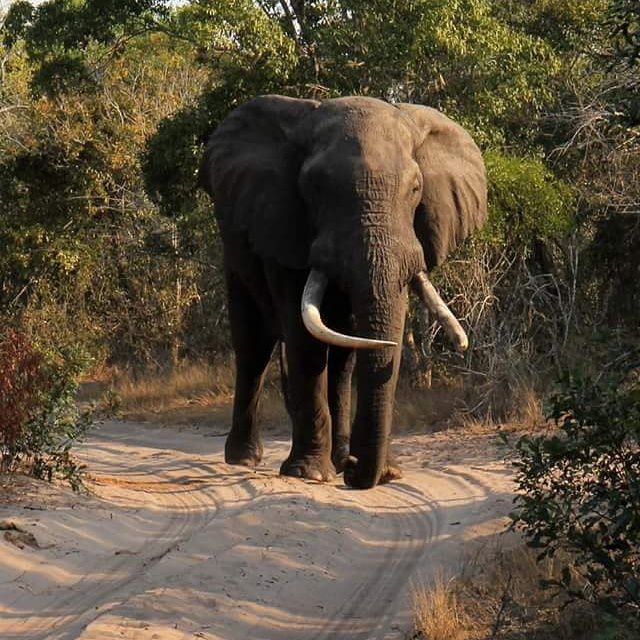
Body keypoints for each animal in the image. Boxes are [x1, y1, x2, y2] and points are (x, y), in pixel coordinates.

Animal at [200, 94, 484, 490]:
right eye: (315, 188)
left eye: (415, 189)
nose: (355, 467)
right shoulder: (285, 225)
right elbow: (304, 339)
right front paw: (309, 473)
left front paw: (383, 472)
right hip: (235, 251)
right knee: (253, 345)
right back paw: (245, 458)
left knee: (341, 361)